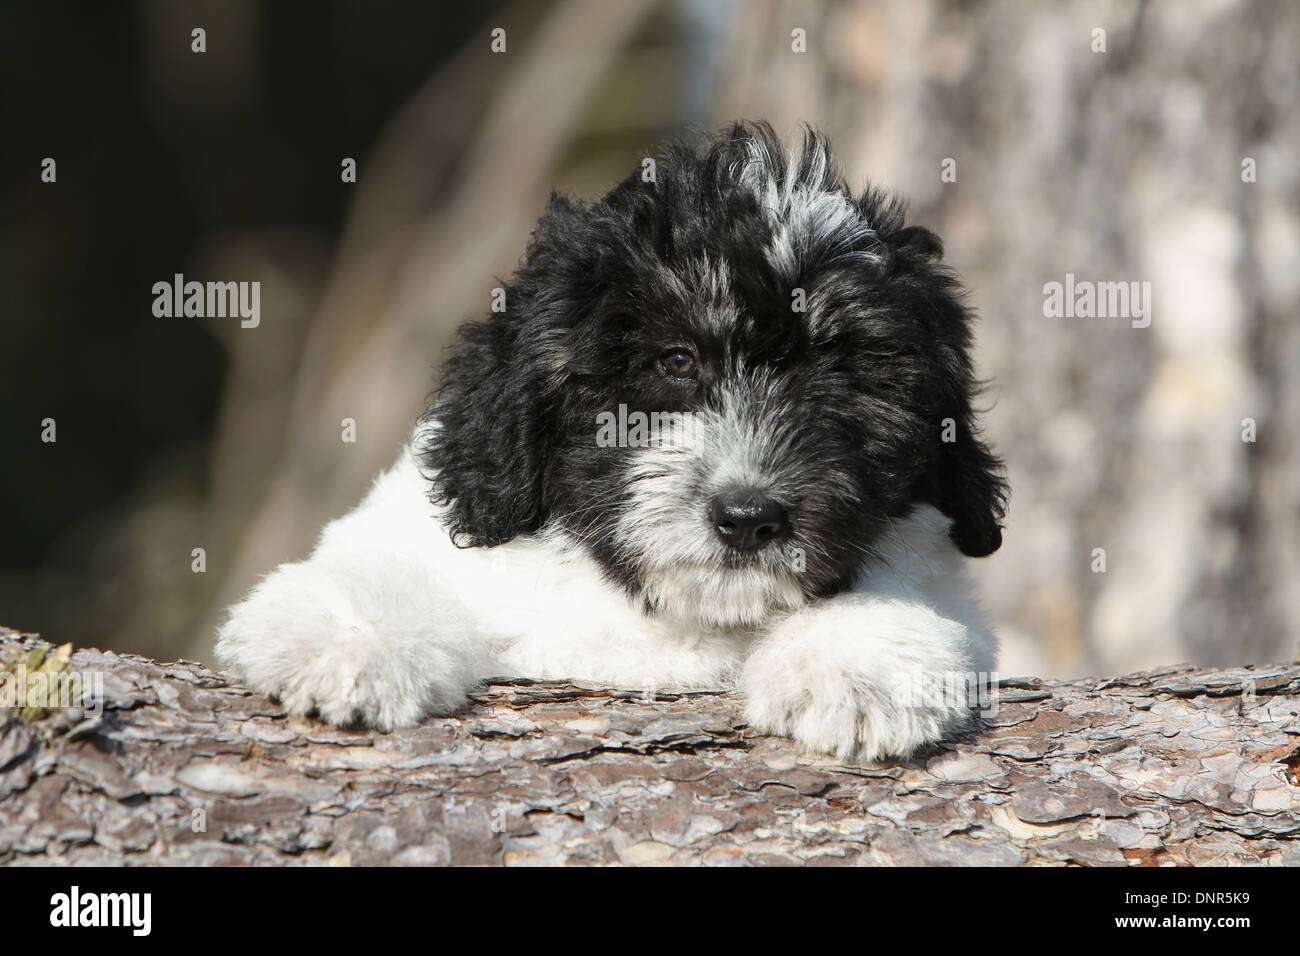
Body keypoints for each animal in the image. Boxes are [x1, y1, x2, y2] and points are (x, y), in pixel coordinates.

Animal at [215, 121, 1003, 764]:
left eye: (842, 374)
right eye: (675, 362)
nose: (749, 518)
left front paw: (855, 667)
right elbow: (386, 565)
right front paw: (344, 642)